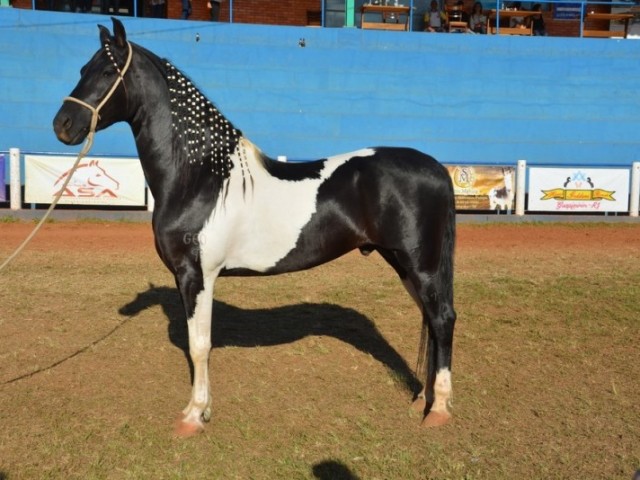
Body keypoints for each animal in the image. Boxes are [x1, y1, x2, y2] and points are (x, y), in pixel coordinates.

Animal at [52, 17, 458, 436]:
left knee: (442, 319)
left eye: (107, 71)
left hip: (419, 265)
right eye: (82, 69)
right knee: (432, 320)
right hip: (404, 265)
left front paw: (194, 415)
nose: (62, 125)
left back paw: (439, 410)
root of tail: (437, 168)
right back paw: (422, 400)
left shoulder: (196, 274)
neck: (201, 177)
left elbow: (199, 345)